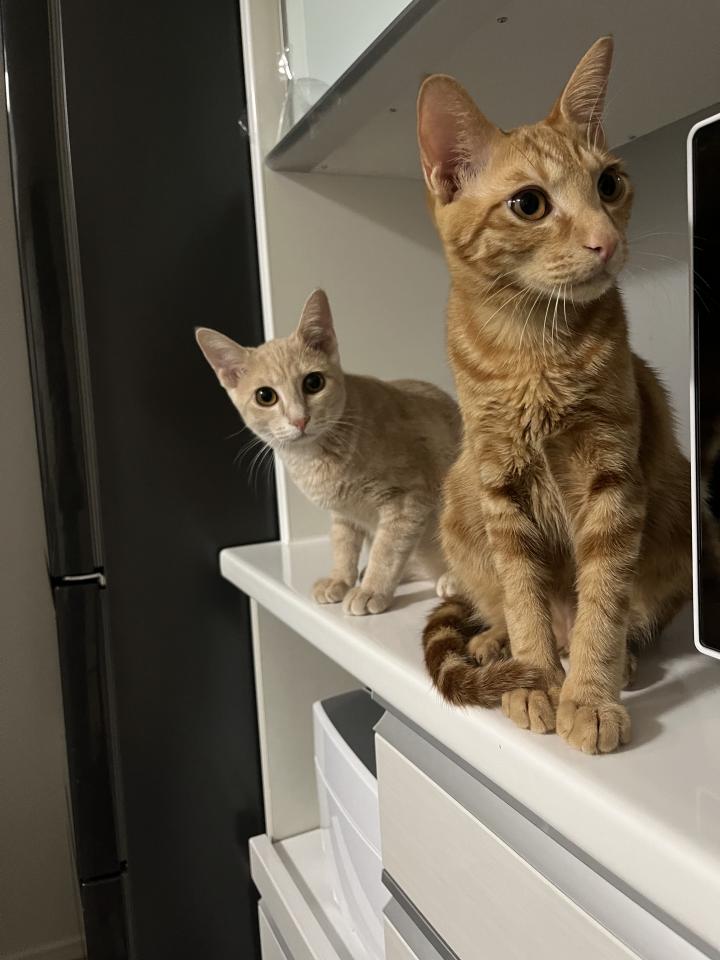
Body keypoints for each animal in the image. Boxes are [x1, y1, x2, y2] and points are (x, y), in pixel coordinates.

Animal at [196, 289, 461, 615]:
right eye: (265, 396)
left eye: (313, 382)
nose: (299, 419)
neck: (316, 459)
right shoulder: (343, 514)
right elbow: (343, 545)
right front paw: (341, 579)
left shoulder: (408, 500)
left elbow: (387, 550)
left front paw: (372, 589)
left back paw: (451, 578)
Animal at [418, 37, 691, 753]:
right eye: (530, 204)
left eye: (609, 184)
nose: (608, 240)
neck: (533, 351)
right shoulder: (498, 484)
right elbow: (523, 593)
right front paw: (533, 678)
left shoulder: (612, 477)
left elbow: (602, 597)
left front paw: (589, 695)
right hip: (460, 495)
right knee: (496, 604)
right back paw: (494, 643)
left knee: (629, 618)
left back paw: (620, 660)